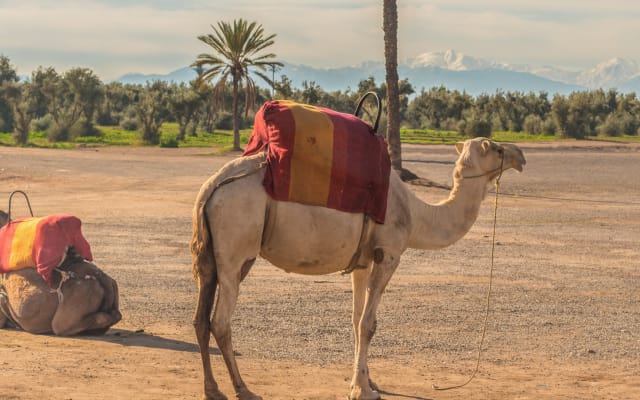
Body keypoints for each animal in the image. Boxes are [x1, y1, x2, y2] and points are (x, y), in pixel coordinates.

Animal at [191, 137, 526, 400]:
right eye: (496, 148)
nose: (520, 155)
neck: (416, 215)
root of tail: (211, 187)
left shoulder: (362, 262)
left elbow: (355, 319)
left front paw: (366, 379)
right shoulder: (389, 254)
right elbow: (368, 324)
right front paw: (362, 390)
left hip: (212, 256)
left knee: (201, 318)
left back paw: (213, 389)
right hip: (236, 247)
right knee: (221, 321)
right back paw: (243, 389)